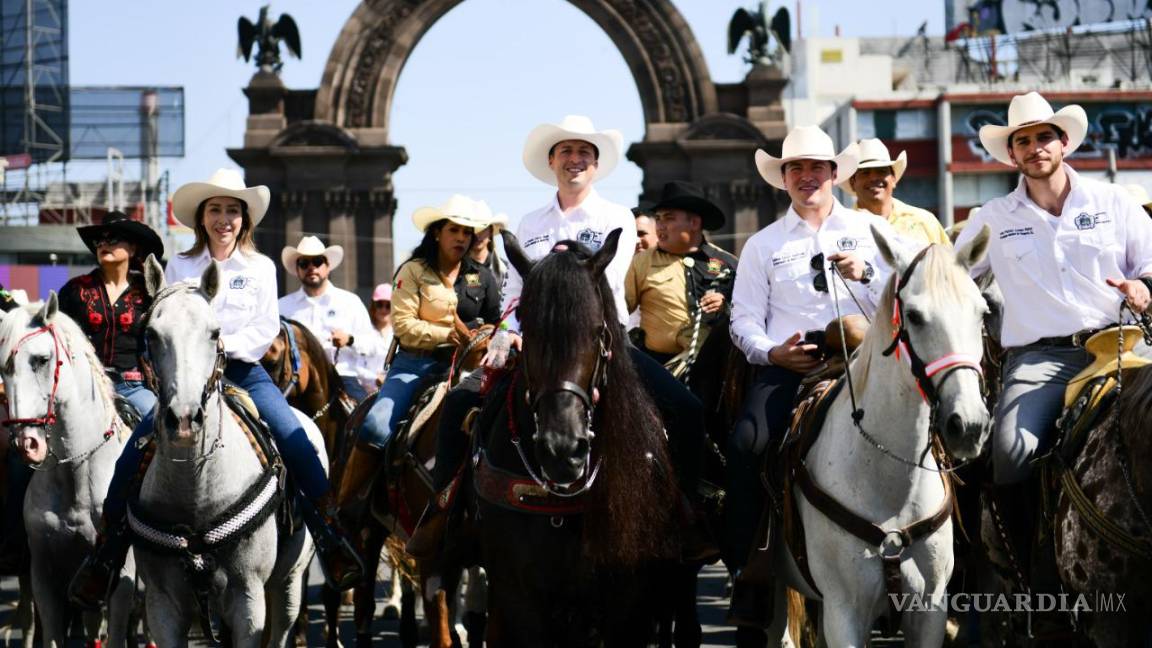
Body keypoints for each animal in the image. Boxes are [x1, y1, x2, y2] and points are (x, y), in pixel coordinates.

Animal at [0, 295, 135, 641]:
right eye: (4, 368)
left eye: (41, 359)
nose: (28, 444)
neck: (78, 473)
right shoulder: (44, 576)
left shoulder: (120, 578)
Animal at [132, 258, 317, 645]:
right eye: (152, 334)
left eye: (214, 332)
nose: (184, 418)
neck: (195, 489)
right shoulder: (161, 602)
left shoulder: (248, 598)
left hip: (289, 584)